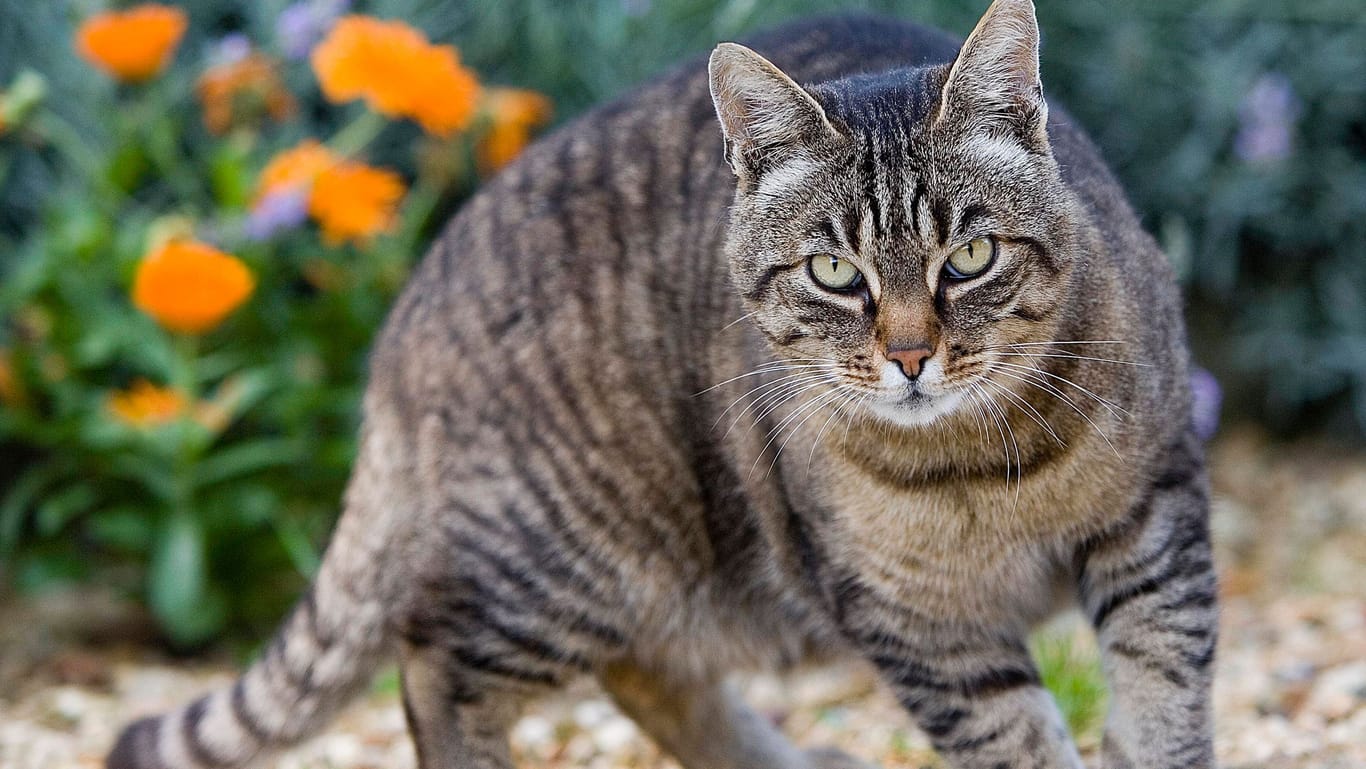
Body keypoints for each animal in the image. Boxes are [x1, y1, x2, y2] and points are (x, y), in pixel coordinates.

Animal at [106, 1, 1218, 769]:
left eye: (972, 256)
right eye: (834, 271)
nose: (910, 355)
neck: (981, 468)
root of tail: (409, 307)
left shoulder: (1154, 521)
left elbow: (1165, 696)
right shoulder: (922, 625)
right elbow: (1014, 738)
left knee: (646, 672)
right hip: (565, 552)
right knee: (435, 662)